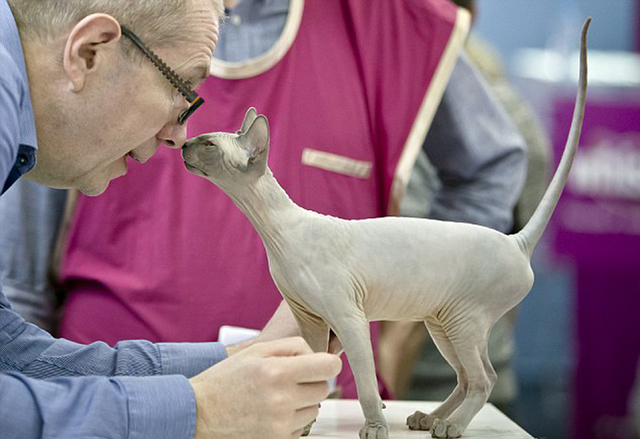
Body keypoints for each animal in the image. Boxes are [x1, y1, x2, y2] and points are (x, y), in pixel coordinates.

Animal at [181, 20, 592, 439]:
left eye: (208, 144)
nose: (183, 144)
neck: (278, 231)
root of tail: (516, 241)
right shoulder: (310, 322)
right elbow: (310, 374)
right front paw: (301, 424)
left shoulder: (349, 318)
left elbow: (364, 384)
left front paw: (375, 427)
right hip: (442, 323)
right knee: (466, 376)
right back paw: (430, 417)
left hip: (464, 319)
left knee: (483, 379)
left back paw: (450, 425)